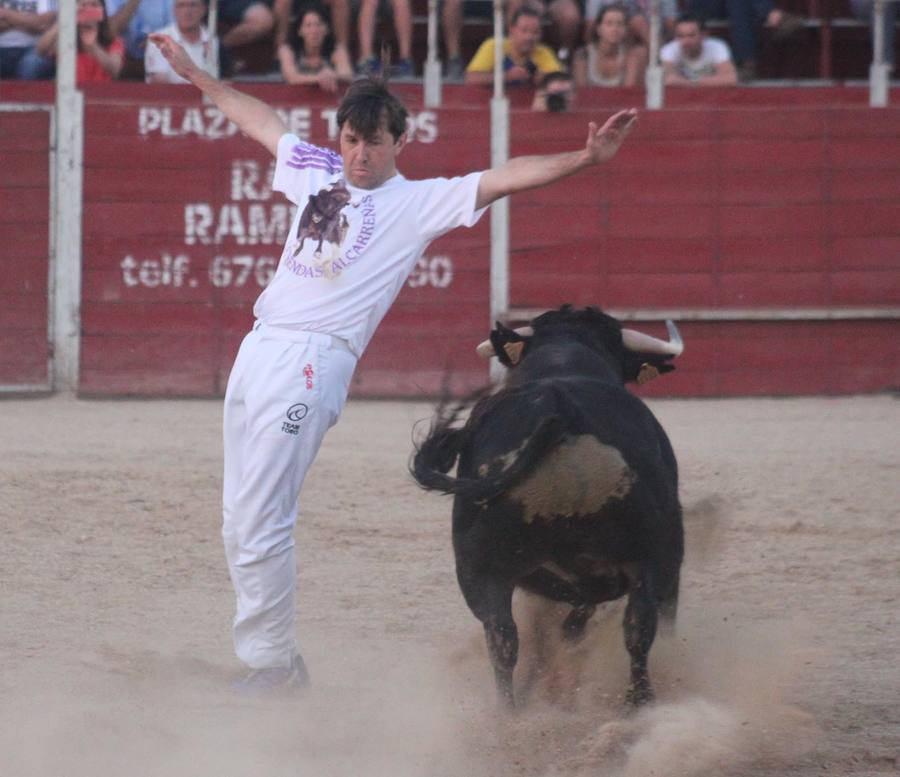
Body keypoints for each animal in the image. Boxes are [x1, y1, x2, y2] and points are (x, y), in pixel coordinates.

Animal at [414, 306, 684, 708]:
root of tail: (561, 409)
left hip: (480, 570)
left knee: (502, 638)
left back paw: (510, 711)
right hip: (657, 554)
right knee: (640, 625)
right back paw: (639, 703)